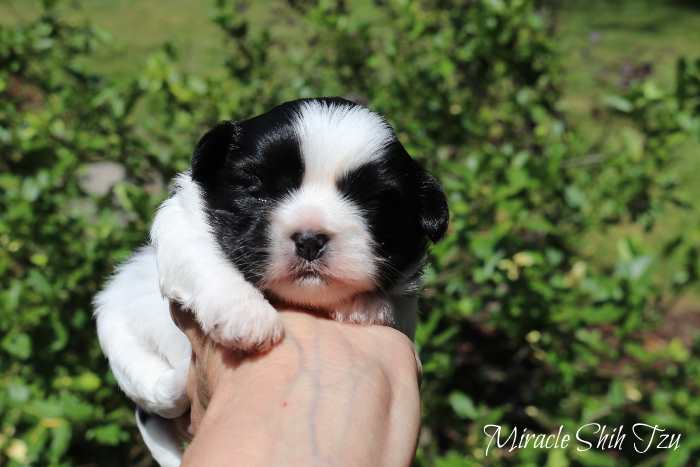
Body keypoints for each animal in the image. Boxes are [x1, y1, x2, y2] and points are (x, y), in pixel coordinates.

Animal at [93, 97, 448, 466]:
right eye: (257, 188)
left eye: (374, 203)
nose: (310, 240)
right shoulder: (181, 220)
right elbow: (205, 256)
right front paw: (245, 315)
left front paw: (368, 304)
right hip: (118, 333)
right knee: (151, 402)